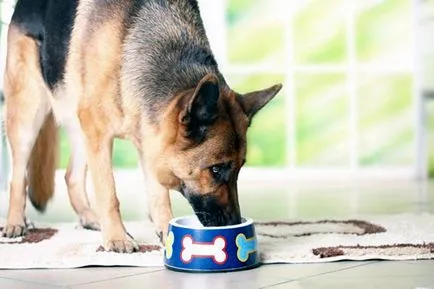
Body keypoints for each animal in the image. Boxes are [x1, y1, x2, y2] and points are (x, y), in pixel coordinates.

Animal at [3, 0, 282, 252]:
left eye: (239, 168)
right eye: (216, 169)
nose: (235, 222)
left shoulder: (149, 138)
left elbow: (158, 195)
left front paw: (166, 233)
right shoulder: (101, 133)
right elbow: (108, 192)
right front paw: (117, 238)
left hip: (79, 127)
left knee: (71, 176)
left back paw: (90, 218)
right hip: (29, 115)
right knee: (18, 177)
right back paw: (15, 223)